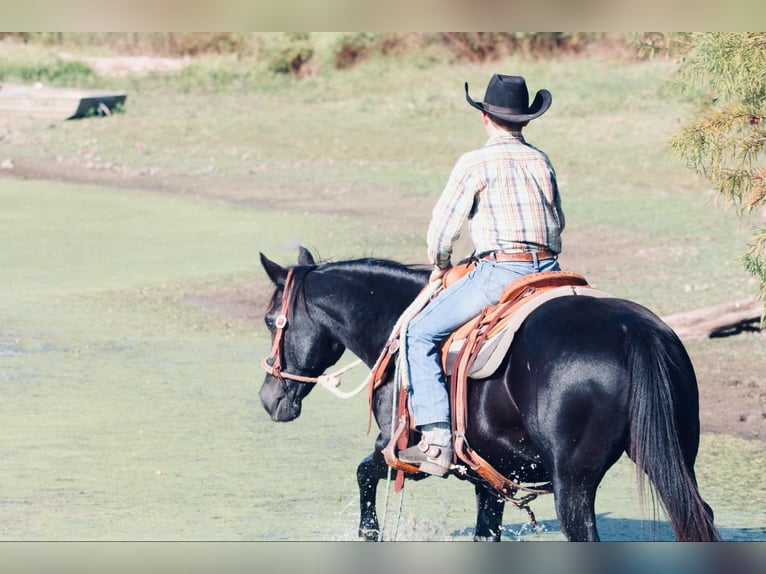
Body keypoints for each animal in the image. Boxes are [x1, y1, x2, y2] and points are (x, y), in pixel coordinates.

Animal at [258, 248, 720, 544]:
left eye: (269, 319)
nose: (268, 398)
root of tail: (631, 331)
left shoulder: (401, 450)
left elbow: (363, 474)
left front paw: (368, 532)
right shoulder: (491, 474)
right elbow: (486, 532)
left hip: (574, 484)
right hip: (671, 457)